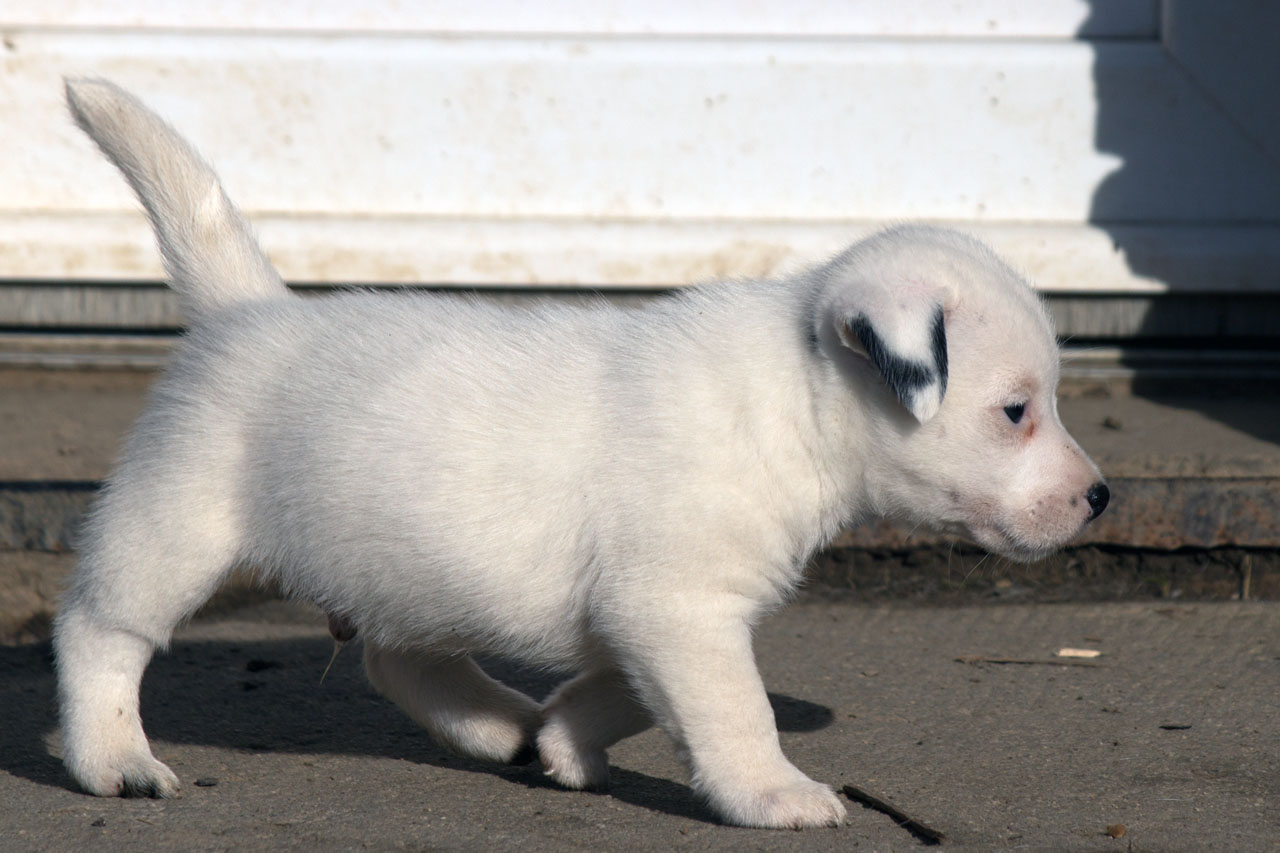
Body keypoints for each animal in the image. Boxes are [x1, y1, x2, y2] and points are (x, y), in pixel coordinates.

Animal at [53, 79, 1108, 829]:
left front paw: (564, 736)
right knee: (99, 633)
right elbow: (736, 709)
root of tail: (248, 311)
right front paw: (772, 791)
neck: (791, 396)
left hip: (415, 567)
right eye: (1016, 410)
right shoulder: (680, 609)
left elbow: (631, 693)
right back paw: (113, 758)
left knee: (398, 660)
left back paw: (501, 724)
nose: (1098, 497)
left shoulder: (649, 617)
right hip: (173, 531)